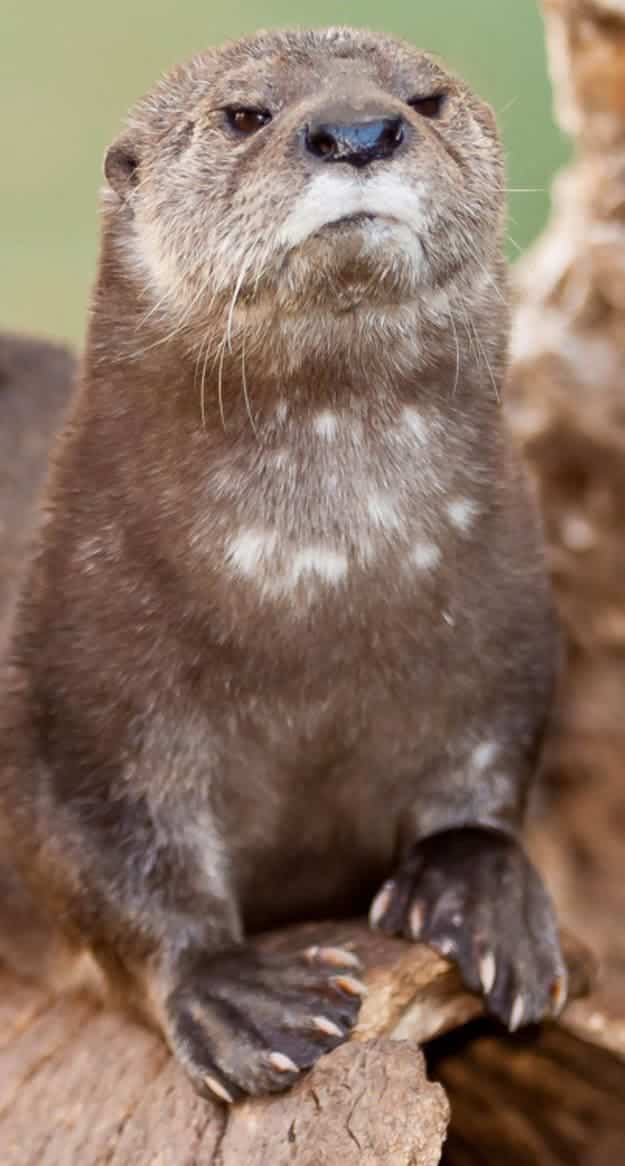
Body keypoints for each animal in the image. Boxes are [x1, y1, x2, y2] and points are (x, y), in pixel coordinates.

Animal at [0, 27, 567, 1102]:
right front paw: (232, 990)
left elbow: (491, 767)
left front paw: (479, 894)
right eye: (244, 114)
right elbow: (109, 864)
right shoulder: (76, 685)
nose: (357, 132)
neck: (316, 597)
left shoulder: (506, 617)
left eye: (425, 99)